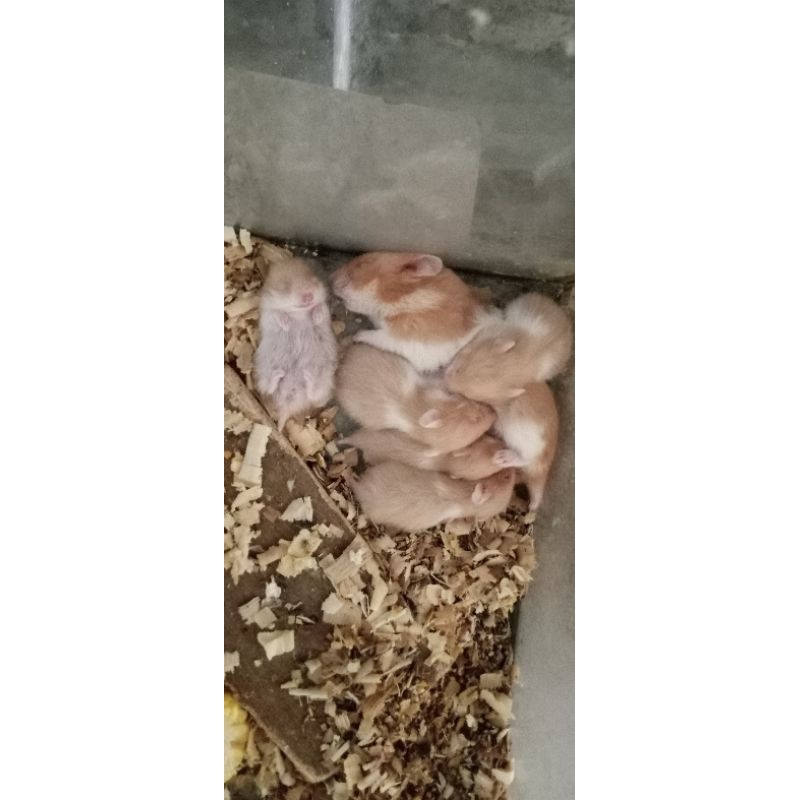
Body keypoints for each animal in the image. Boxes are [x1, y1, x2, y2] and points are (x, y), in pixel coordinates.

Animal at [254, 258, 337, 430]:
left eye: (313, 279)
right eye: (285, 286)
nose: (308, 296)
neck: (298, 312)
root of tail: (288, 403)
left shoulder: (325, 312)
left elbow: (320, 310)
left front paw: (315, 314)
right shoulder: (266, 314)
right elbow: (276, 314)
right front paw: (286, 323)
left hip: (325, 381)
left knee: (315, 395)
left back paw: (308, 377)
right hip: (262, 371)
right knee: (269, 387)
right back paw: (279, 375)